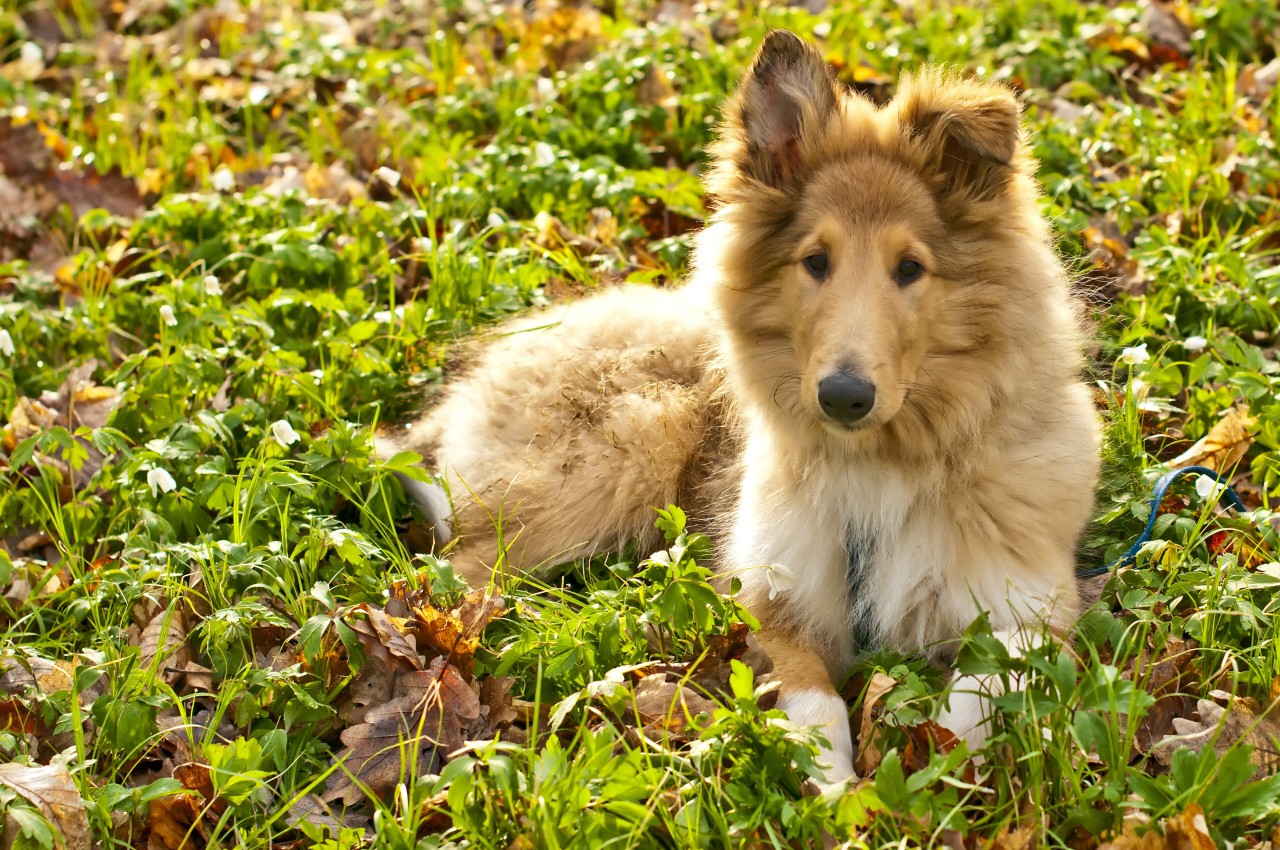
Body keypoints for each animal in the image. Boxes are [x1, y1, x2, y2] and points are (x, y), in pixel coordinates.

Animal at [376, 29, 1100, 778]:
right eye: (816, 261)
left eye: (910, 269)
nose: (843, 397)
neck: (880, 463)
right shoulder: (769, 595)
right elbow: (815, 705)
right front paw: (840, 788)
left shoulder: (1034, 601)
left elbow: (980, 688)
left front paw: (930, 766)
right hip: (627, 448)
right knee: (453, 570)